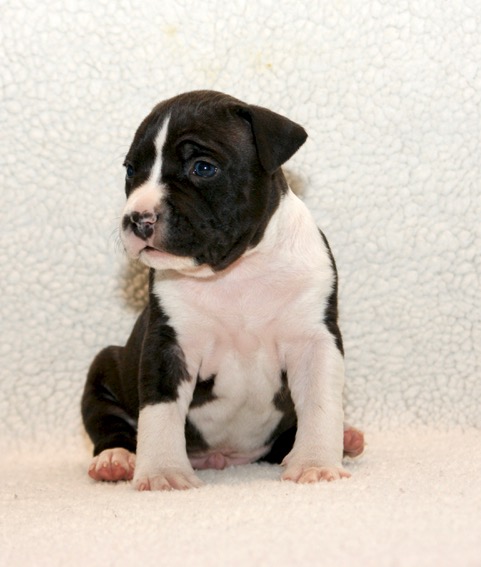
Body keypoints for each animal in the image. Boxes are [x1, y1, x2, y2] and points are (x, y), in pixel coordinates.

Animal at [81, 90, 364, 491]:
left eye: (203, 168)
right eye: (131, 171)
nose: (137, 218)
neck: (235, 271)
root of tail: (222, 458)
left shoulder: (314, 341)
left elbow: (321, 405)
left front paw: (315, 463)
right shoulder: (169, 347)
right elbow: (159, 412)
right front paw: (162, 472)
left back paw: (346, 438)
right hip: (105, 366)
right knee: (110, 425)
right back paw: (116, 459)